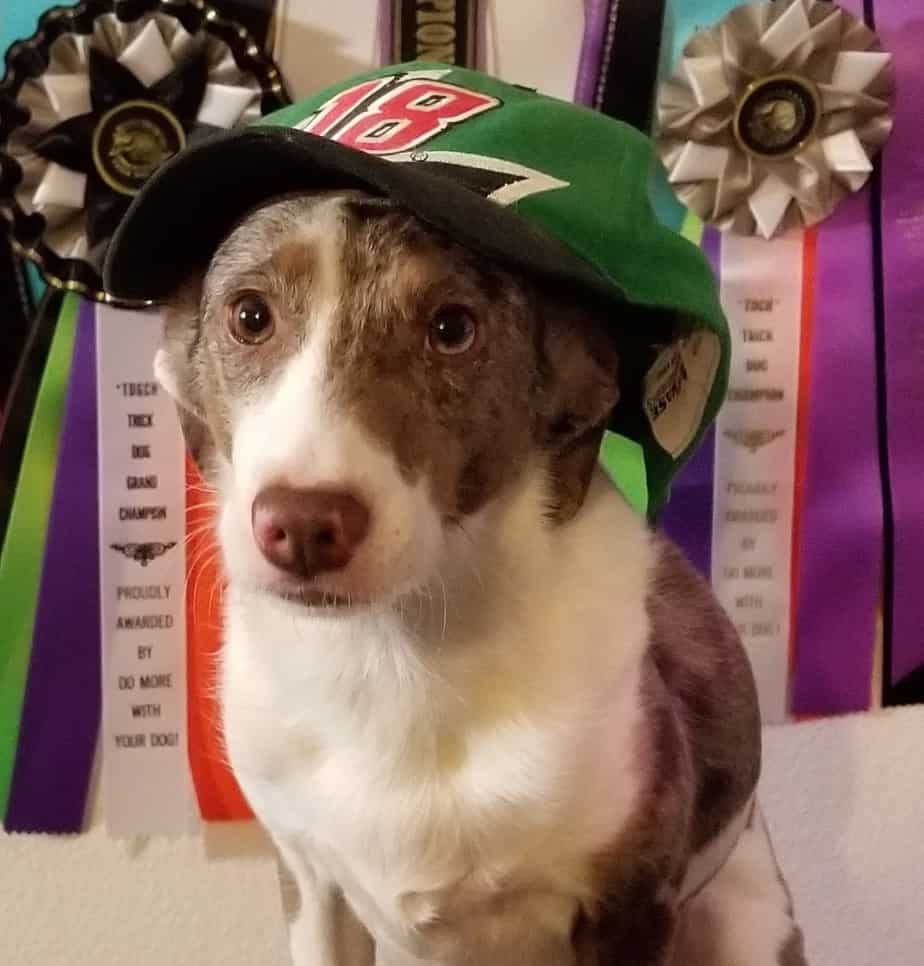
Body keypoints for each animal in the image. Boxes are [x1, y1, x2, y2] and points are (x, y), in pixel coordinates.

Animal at [155, 191, 804, 966]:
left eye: (453, 329)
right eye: (250, 316)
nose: (303, 525)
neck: (395, 657)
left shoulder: (631, 902)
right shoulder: (310, 882)